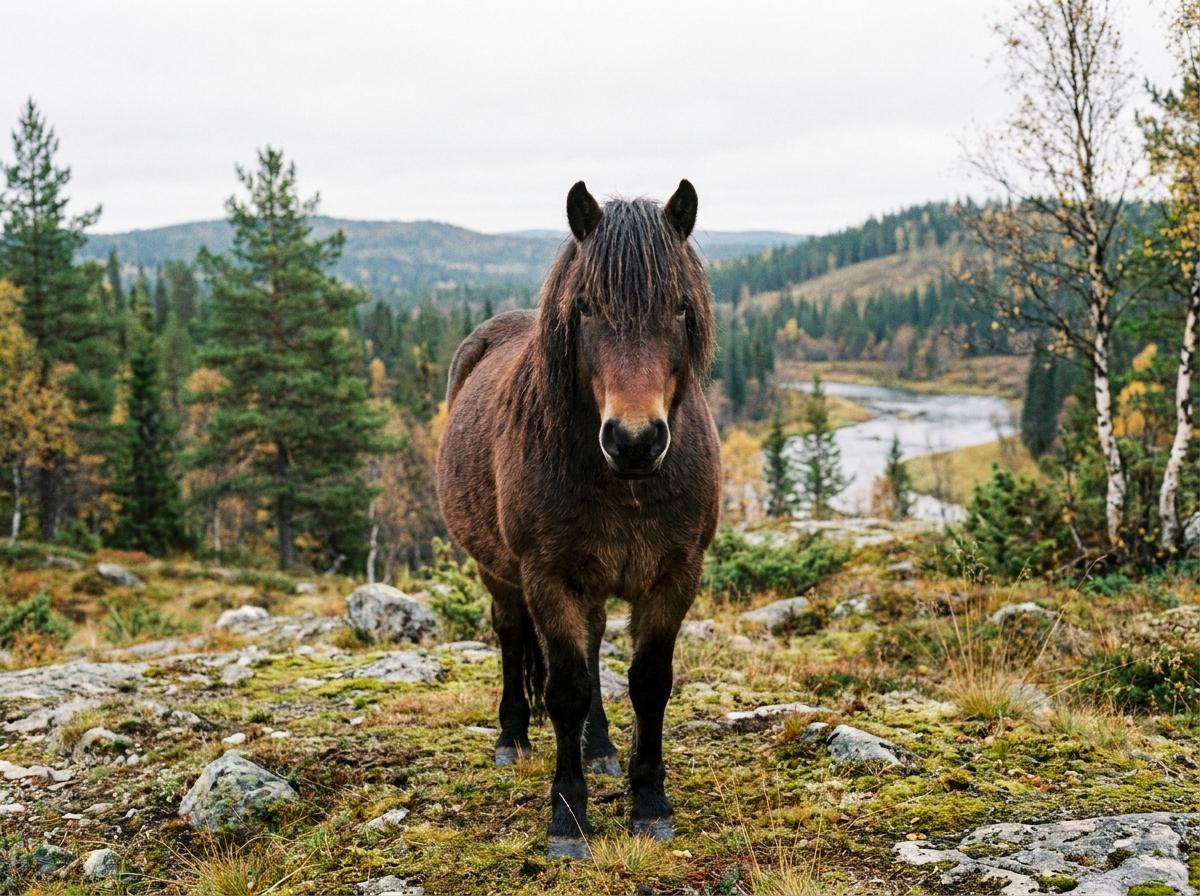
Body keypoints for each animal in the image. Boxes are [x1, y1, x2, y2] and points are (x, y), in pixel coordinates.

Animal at [436, 180, 720, 859]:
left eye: (679, 308)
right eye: (586, 308)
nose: (635, 441)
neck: (625, 486)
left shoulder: (676, 574)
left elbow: (648, 682)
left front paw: (649, 803)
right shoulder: (549, 575)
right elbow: (564, 689)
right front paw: (567, 817)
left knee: (590, 648)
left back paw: (601, 749)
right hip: (501, 574)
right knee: (513, 636)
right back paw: (512, 738)